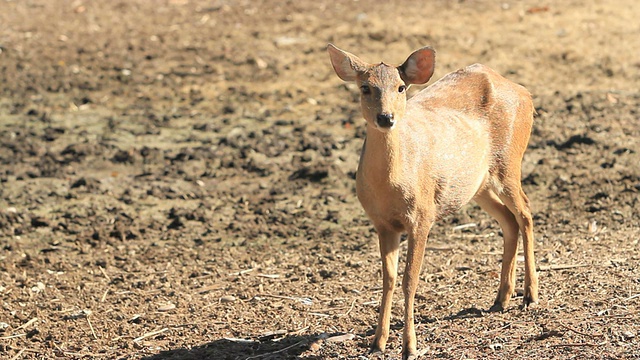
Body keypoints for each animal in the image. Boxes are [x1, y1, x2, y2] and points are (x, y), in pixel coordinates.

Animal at [328, 43, 536, 358]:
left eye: (401, 87)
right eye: (365, 87)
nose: (386, 118)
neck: (390, 186)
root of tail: (525, 93)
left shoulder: (422, 216)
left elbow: (409, 280)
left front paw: (409, 346)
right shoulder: (382, 223)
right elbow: (388, 279)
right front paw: (378, 342)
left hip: (509, 162)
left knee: (525, 212)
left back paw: (531, 296)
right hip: (478, 183)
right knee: (509, 220)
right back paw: (501, 298)